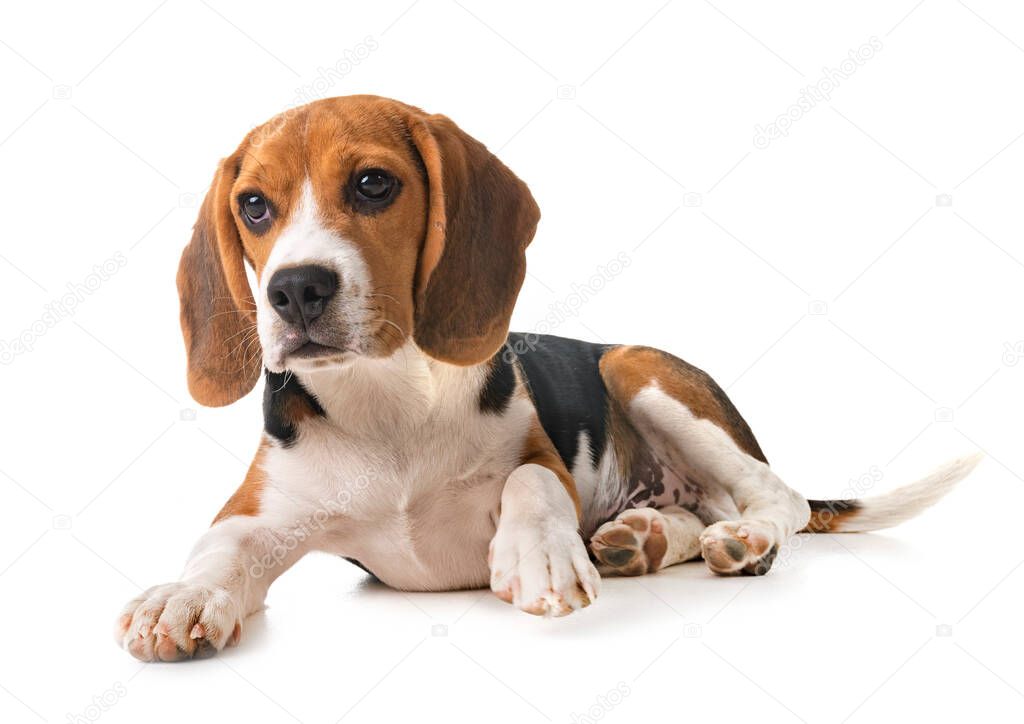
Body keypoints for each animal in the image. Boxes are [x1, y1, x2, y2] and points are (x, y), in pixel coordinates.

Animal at [114, 94, 983, 663]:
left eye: (372, 184)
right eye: (254, 206)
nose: (294, 290)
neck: (387, 399)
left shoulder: (541, 459)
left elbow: (529, 481)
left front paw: (537, 554)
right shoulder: (263, 507)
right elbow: (218, 545)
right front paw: (179, 596)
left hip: (635, 366)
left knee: (782, 500)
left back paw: (739, 539)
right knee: (696, 516)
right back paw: (642, 539)